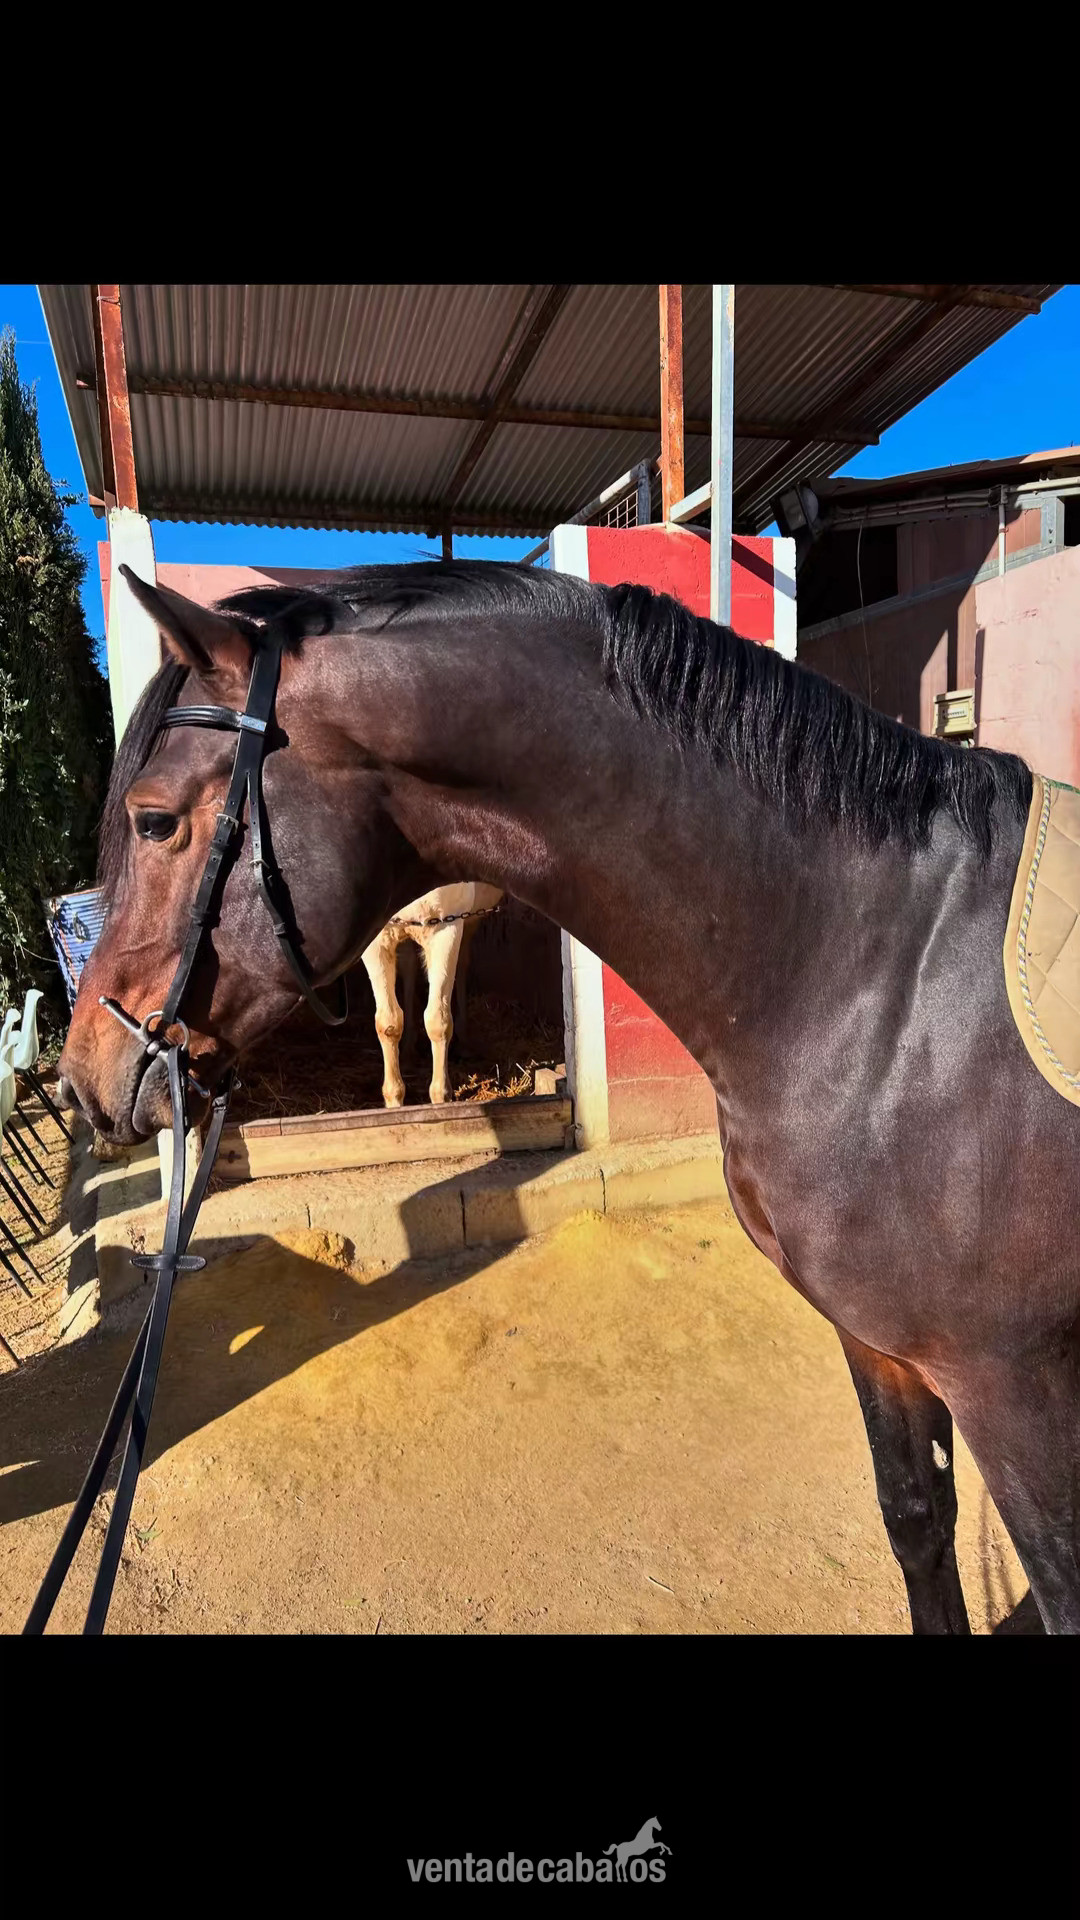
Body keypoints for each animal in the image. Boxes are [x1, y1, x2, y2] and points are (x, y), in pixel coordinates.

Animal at [360, 882, 502, 1107]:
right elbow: (388, 1022)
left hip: (469, 921)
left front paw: (441, 1097)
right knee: (409, 965)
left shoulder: (447, 928)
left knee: (462, 963)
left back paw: (464, 1043)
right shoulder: (377, 939)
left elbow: (438, 1021)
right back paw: (409, 1049)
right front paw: (394, 1100)